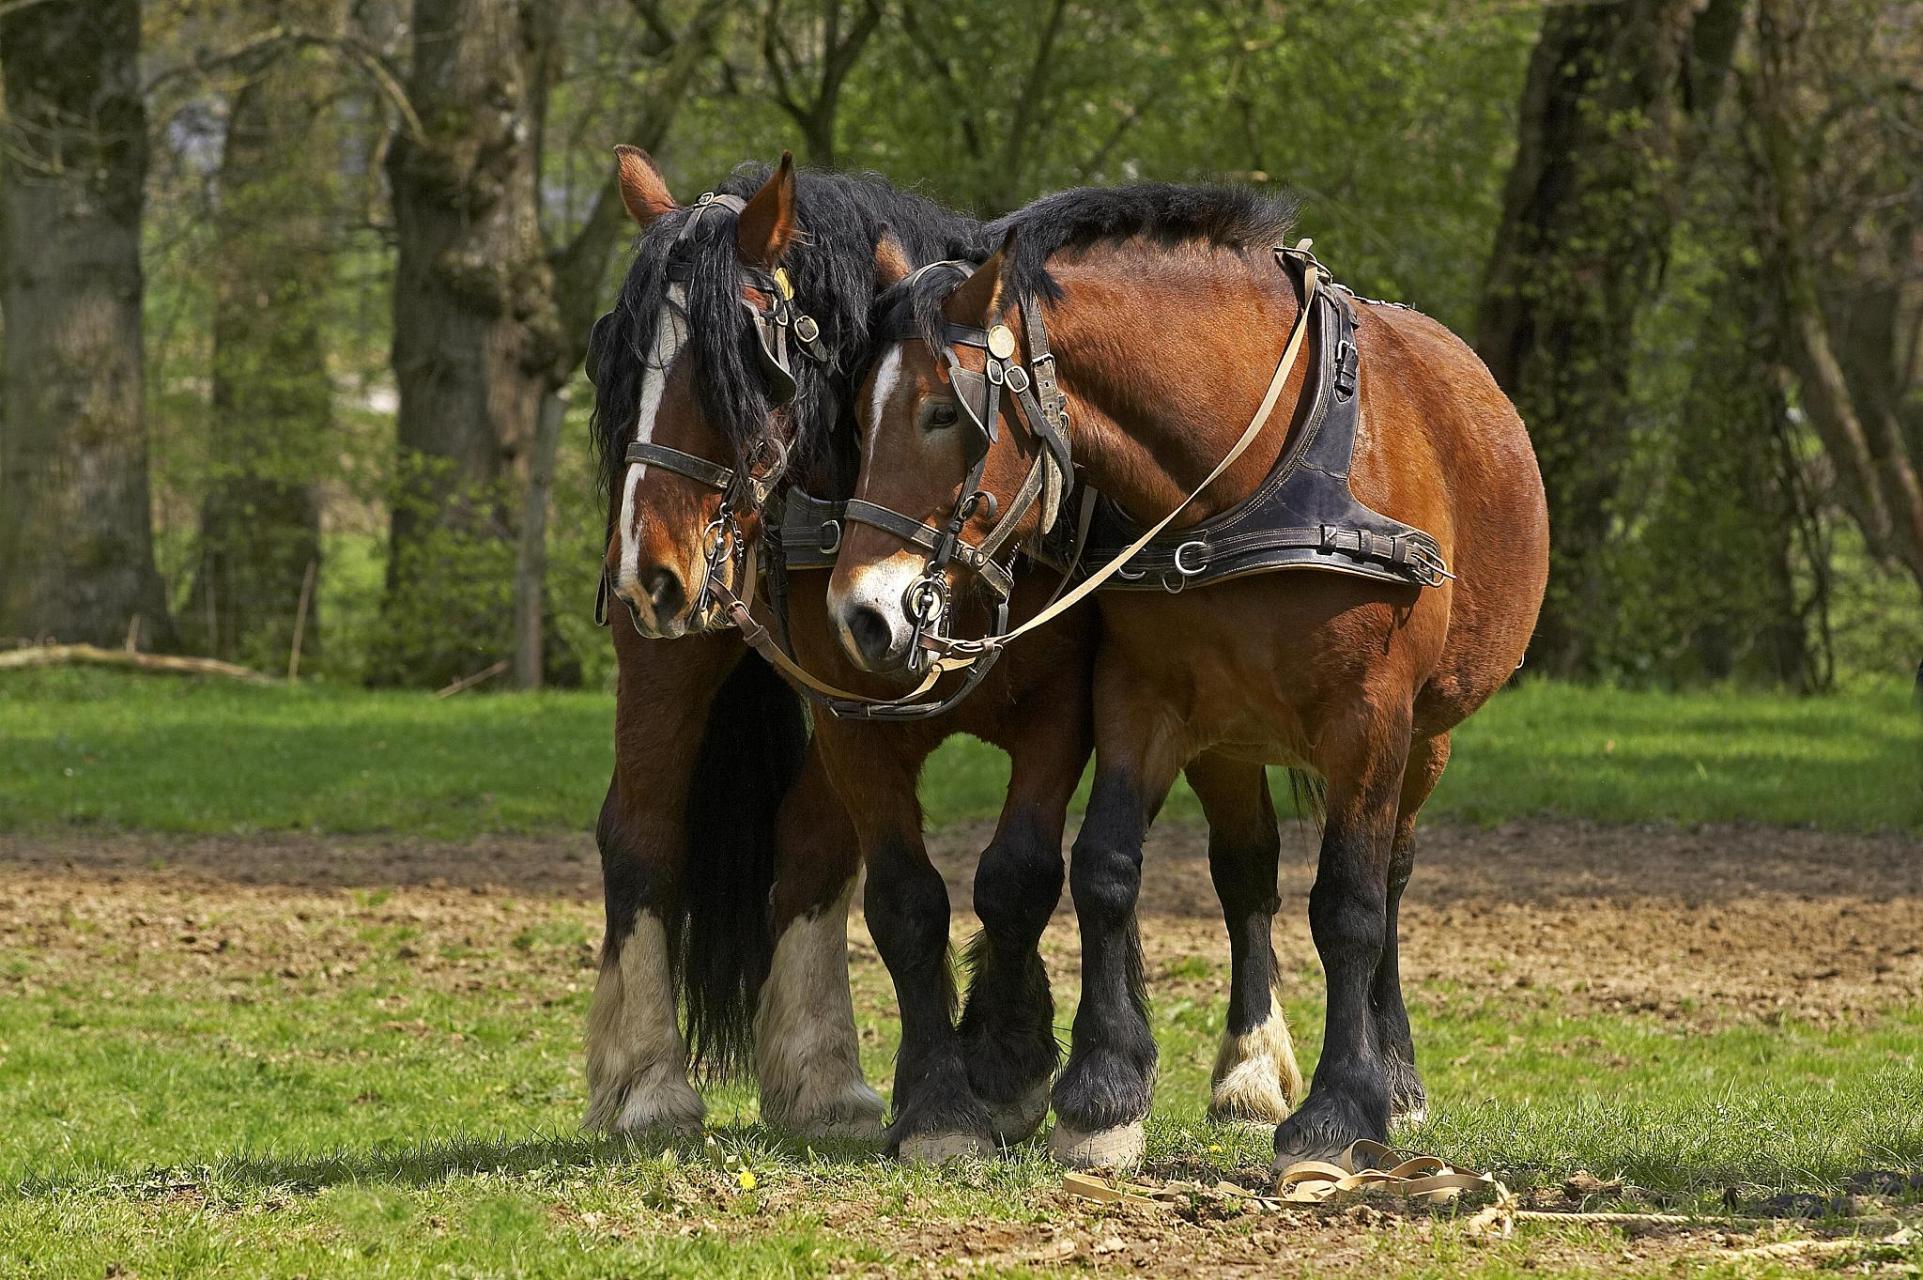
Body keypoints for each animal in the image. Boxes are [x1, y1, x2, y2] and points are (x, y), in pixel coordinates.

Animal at [584, 151, 1307, 1153]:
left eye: (741, 364)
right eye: (614, 361)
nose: (647, 570)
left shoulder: (1060, 705)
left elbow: (1015, 877)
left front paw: (1005, 1060)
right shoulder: (850, 712)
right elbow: (906, 896)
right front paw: (946, 1101)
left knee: (1241, 858)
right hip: (676, 657)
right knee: (644, 835)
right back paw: (651, 1082)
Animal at [826, 184, 1546, 1168]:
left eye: (943, 413)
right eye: (854, 419)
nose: (861, 613)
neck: (1258, 475)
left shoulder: (1370, 719)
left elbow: (1350, 905)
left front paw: (1340, 1110)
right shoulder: (1142, 698)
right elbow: (1104, 867)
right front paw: (1101, 1095)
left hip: (1425, 739)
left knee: (1391, 877)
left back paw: (1394, 1075)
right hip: (1230, 739)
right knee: (1245, 874)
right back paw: (1246, 1068)